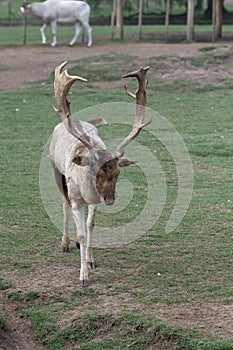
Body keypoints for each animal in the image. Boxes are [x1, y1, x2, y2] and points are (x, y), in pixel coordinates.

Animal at [49, 61, 151, 286]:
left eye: (118, 173)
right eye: (96, 172)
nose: (110, 200)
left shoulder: (95, 200)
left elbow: (90, 226)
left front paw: (90, 261)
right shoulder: (76, 198)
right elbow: (80, 232)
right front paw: (83, 278)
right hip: (56, 170)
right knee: (63, 203)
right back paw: (65, 243)